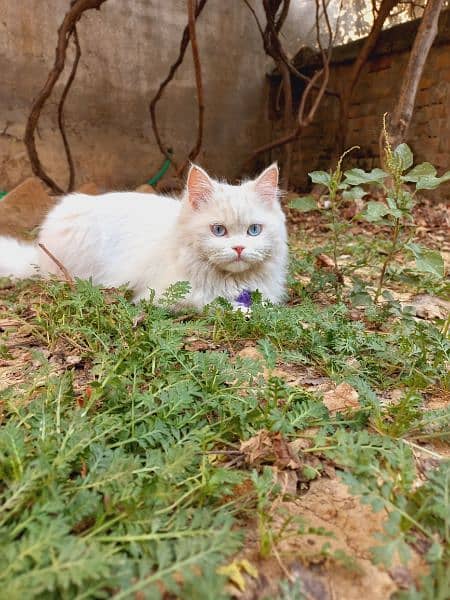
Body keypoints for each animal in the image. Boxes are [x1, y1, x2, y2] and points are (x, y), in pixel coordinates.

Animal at [0, 164, 288, 312]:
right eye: (218, 230)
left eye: (254, 230)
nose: (239, 248)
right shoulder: (166, 295)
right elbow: (213, 302)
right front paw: (241, 309)